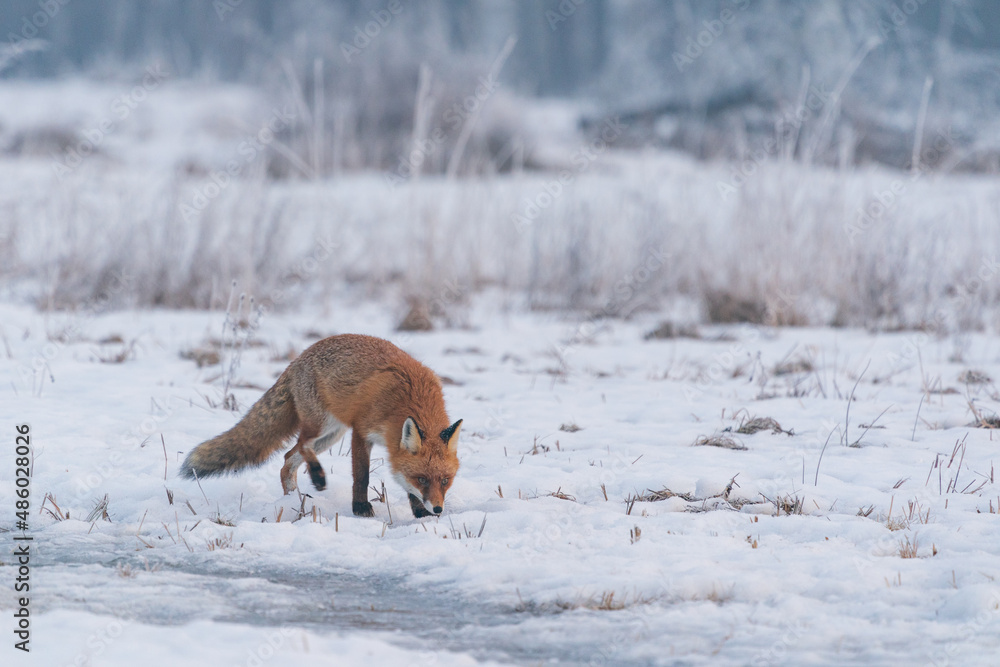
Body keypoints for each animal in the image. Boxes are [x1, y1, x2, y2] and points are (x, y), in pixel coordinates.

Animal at [179, 334, 462, 519]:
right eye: (422, 478)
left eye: (445, 480)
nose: (438, 509)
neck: (408, 399)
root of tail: (298, 358)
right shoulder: (361, 431)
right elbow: (362, 475)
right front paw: (360, 507)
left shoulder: (392, 446)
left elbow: (404, 482)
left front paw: (420, 513)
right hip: (322, 425)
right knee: (302, 445)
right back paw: (316, 476)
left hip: (331, 435)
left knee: (287, 459)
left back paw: (293, 500)